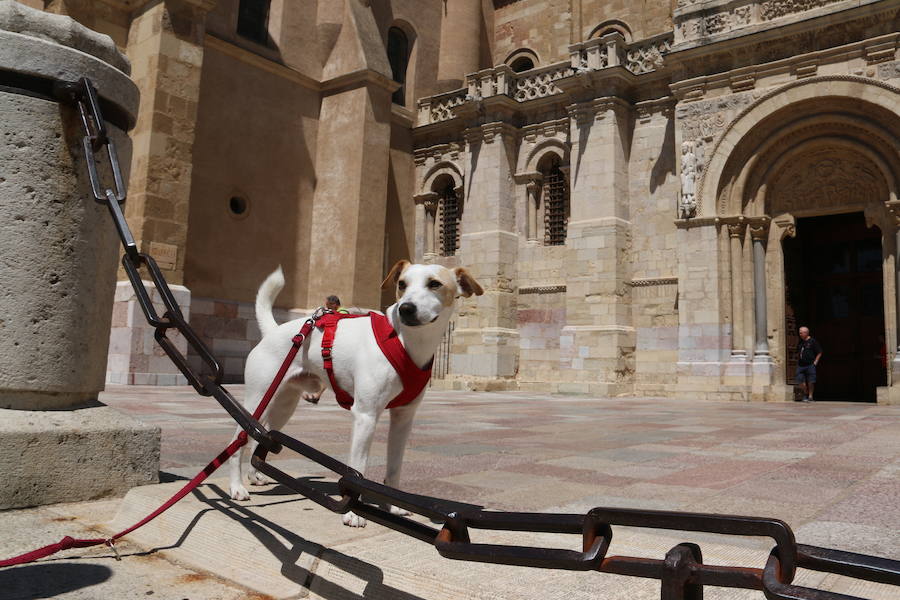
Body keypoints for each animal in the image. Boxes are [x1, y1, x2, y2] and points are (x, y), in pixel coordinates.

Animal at [229, 260, 482, 528]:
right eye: (402, 284)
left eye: (435, 283)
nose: (406, 308)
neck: (407, 343)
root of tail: (273, 332)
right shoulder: (365, 415)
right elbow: (358, 467)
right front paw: (352, 514)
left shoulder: (403, 419)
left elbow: (394, 468)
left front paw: (392, 507)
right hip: (258, 397)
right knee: (238, 440)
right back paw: (236, 487)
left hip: (283, 405)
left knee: (262, 434)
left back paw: (255, 475)